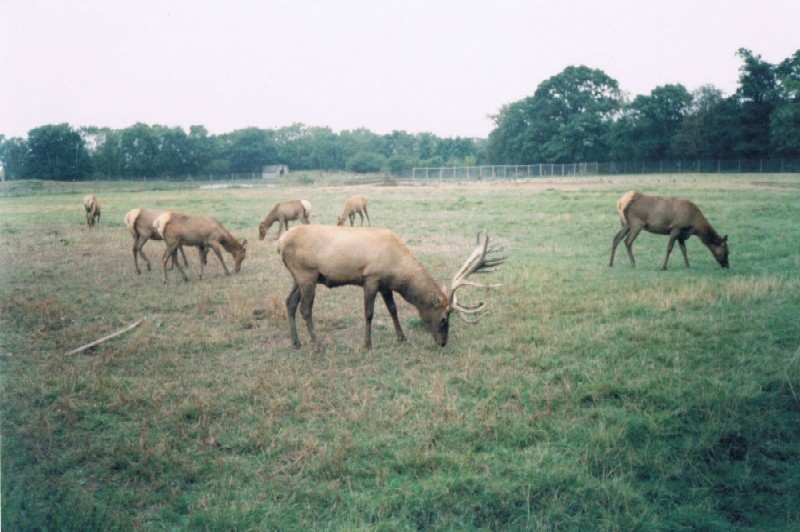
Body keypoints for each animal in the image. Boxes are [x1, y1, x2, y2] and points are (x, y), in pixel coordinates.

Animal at [278, 225, 506, 349]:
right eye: (443, 318)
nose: (443, 342)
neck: (397, 271)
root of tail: (279, 243)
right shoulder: (370, 278)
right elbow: (369, 313)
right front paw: (367, 344)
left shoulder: (385, 285)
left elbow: (393, 310)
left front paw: (401, 337)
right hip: (306, 274)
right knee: (305, 309)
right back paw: (317, 345)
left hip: (299, 277)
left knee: (289, 303)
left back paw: (296, 342)